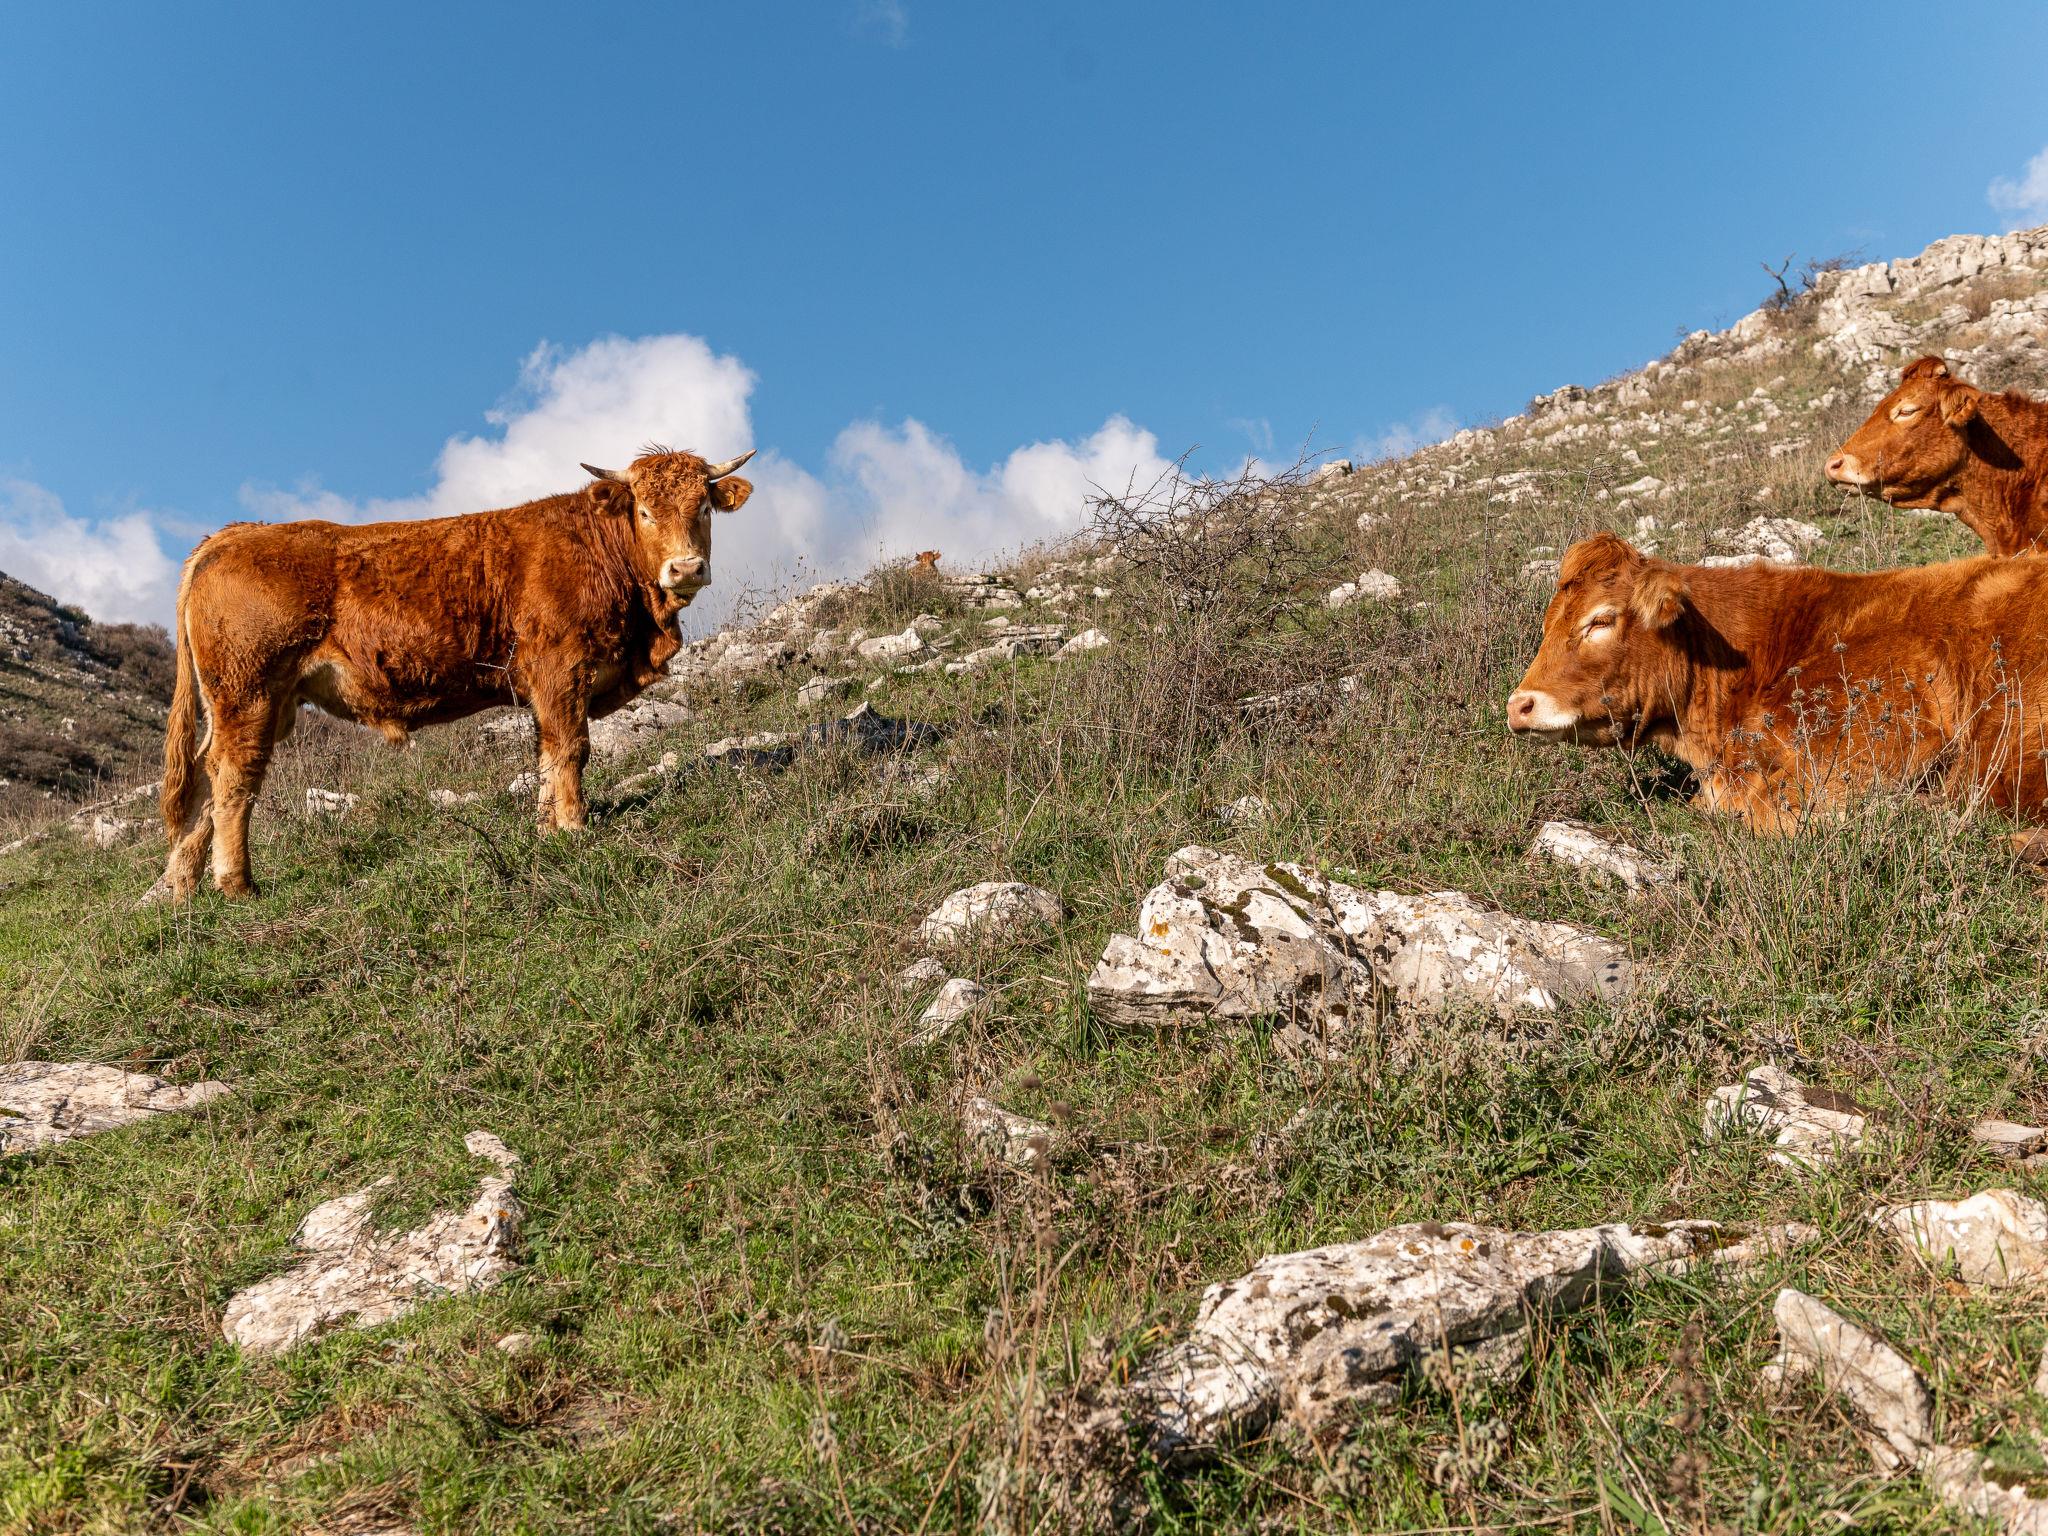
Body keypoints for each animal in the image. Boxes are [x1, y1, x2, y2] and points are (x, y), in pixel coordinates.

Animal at [153, 447, 755, 901]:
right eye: (645, 512)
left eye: (704, 506)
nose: (686, 567)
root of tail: (235, 534)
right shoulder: (561, 671)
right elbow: (571, 749)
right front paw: (573, 829)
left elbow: (546, 755)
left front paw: (546, 830)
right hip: (248, 691)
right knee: (233, 776)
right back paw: (236, 885)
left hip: (252, 701)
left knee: (204, 782)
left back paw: (179, 891)